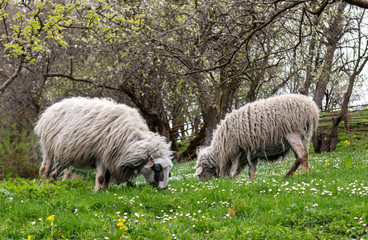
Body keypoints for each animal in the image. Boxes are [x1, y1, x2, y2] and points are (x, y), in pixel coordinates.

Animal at [34, 96, 172, 192]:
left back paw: (52, 187)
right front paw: (96, 192)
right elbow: (100, 177)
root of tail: (51, 109)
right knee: (44, 170)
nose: (164, 188)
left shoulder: (110, 158)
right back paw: (43, 187)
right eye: (157, 168)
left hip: (64, 154)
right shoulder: (101, 155)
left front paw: (105, 191)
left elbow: (107, 177)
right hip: (49, 148)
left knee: (53, 174)